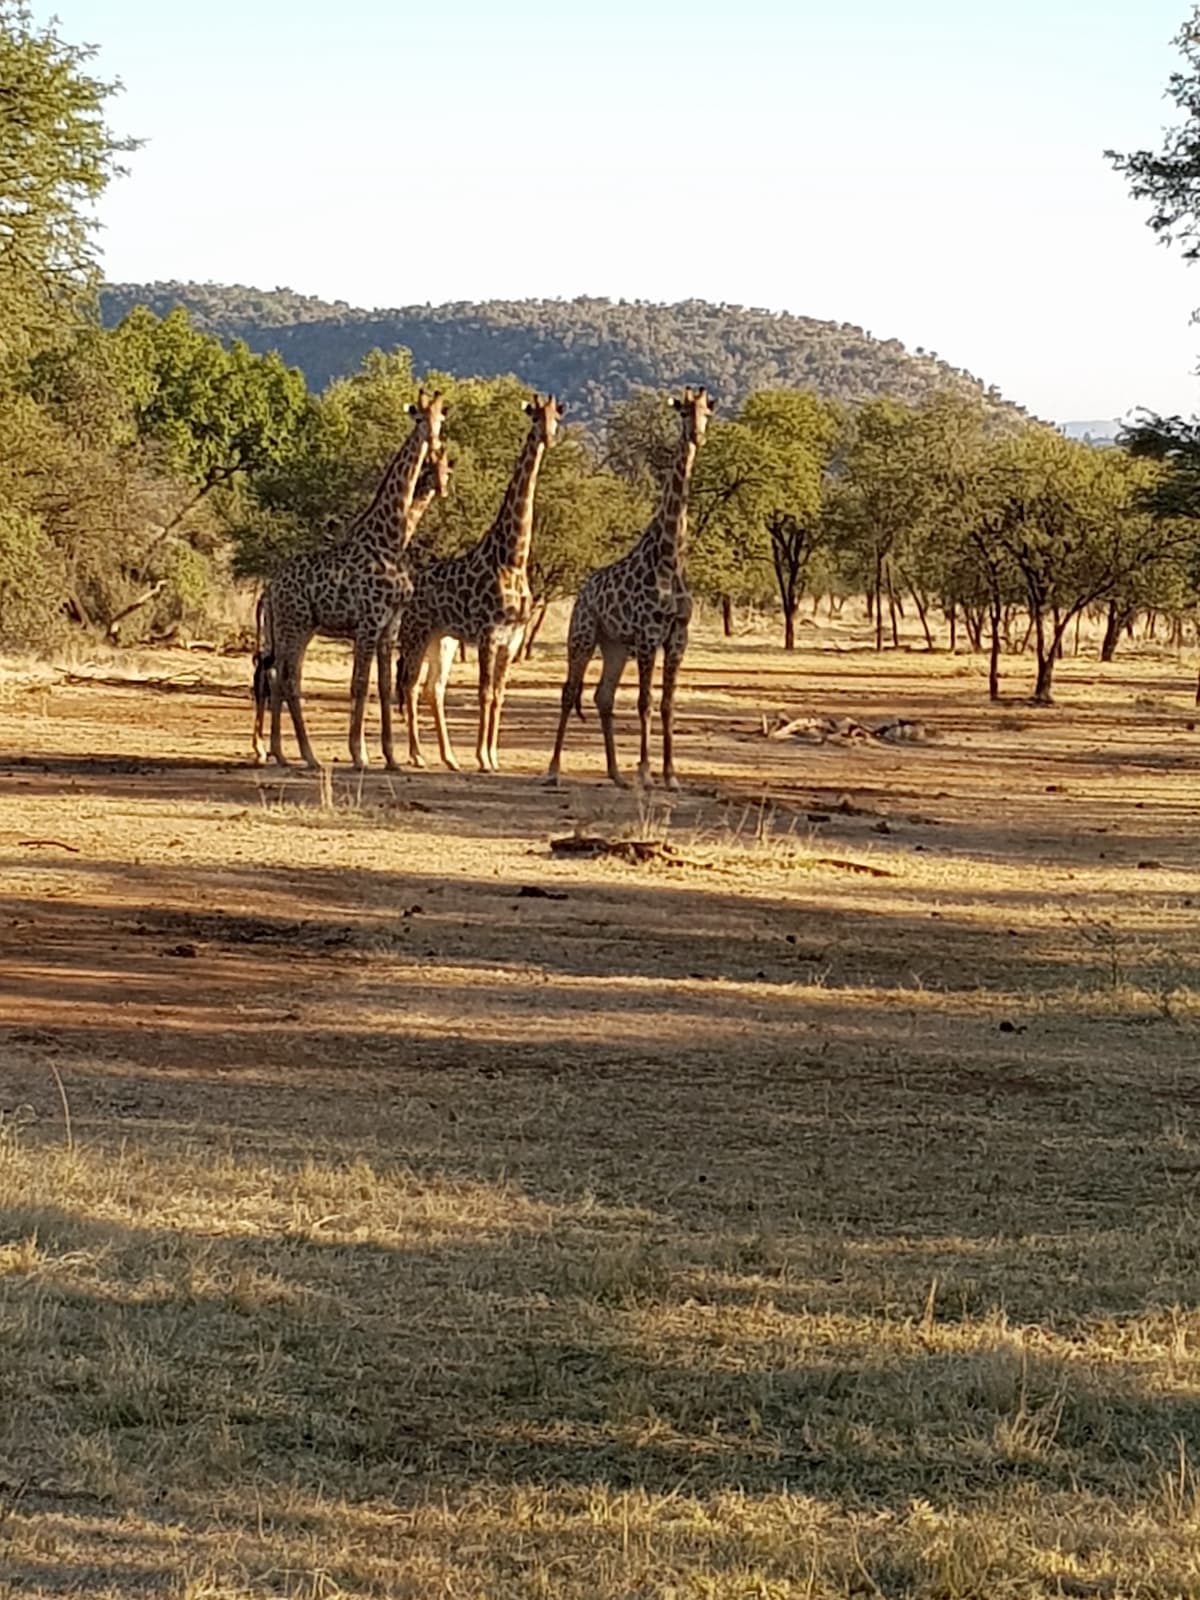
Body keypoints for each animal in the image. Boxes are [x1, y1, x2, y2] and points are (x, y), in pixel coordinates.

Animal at [251, 384, 448, 764]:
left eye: (440, 418)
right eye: (419, 416)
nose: (432, 441)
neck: (392, 540)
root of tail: (270, 588)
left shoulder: (389, 626)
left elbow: (384, 687)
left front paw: (390, 758)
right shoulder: (368, 622)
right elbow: (359, 684)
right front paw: (360, 754)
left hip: (301, 628)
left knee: (281, 676)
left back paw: (285, 752)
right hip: (293, 625)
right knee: (284, 679)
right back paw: (300, 754)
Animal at [395, 398, 563, 774]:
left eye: (556, 417)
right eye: (535, 416)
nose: (547, 437)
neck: (513, 558)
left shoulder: (512, 639)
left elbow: (499, 695)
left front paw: (493, 756)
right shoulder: (488, 635)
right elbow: (484, 693)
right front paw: (483, 758)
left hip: (441, 639)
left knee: (433, 688)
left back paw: (448, 757)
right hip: (415, 633)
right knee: (410, 685)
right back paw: (417, 755)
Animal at [547, 382, 713, 793]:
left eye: (707, 411)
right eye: (683, 411)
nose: (697, 434)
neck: (671, 558)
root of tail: (584, 589)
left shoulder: (677, 636)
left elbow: (667, 704)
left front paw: (671, 775)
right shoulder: (648, 635)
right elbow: (645, 701)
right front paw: (647, 773)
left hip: (614, 645)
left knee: (602, 696)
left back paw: (616, 774)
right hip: (583, 634)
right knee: (569, 691)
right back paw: (554, 770)